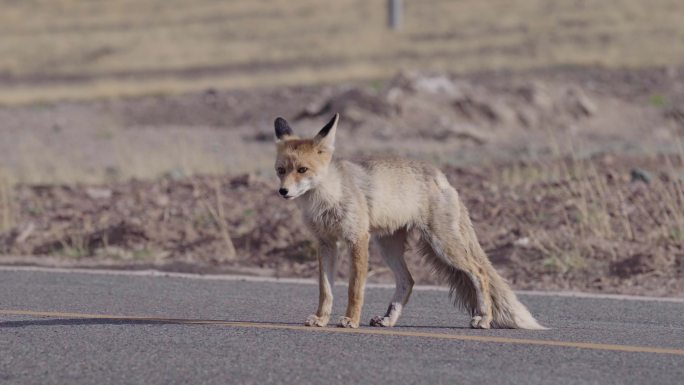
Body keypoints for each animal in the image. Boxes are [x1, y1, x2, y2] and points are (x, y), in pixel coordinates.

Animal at [272, 112, 544, 328]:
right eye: (281, 171)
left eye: (302, 170)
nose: (283, 192)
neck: (327, 197)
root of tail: (441, 176)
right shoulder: (326, 244)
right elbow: (325, 290)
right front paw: (321, 319)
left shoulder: (357, 238)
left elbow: (354, 288)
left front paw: (350, 320)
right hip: (387, 247)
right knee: (408, 281)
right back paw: (388, 320)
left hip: (442, 245)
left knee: (479, 272)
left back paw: (484, 318)